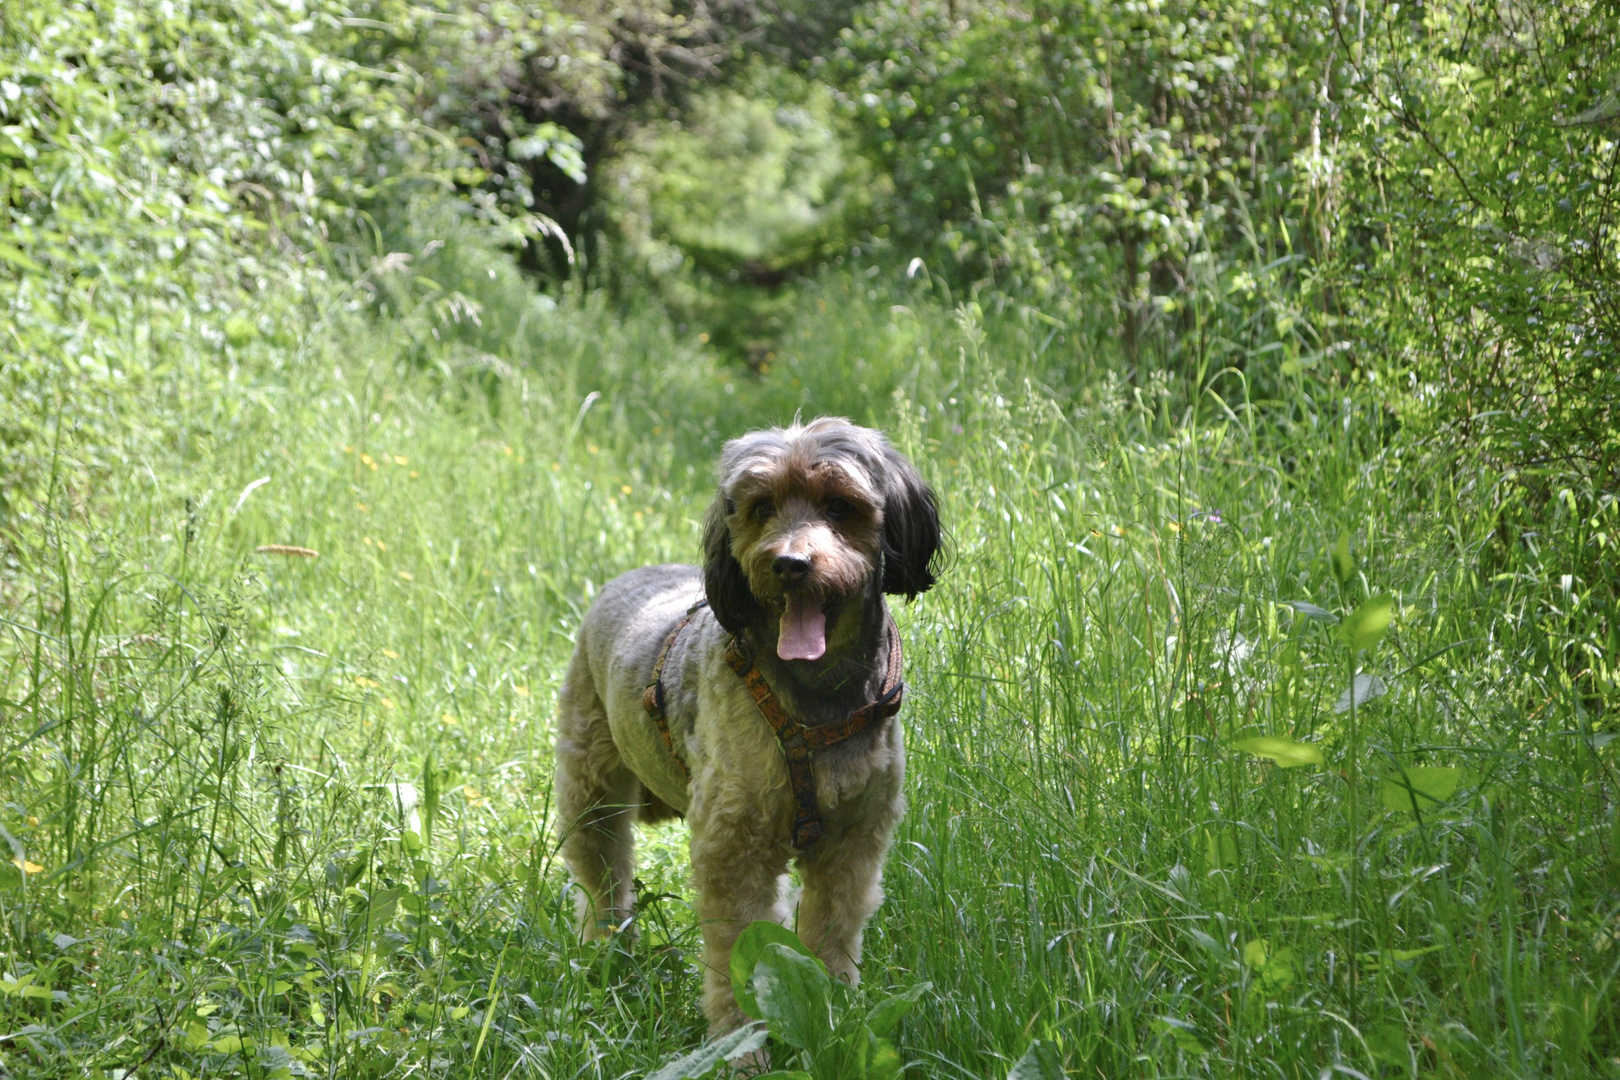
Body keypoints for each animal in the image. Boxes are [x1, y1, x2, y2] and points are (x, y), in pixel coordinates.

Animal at [554, 417, 946, 1036]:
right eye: (761, 507)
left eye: (840, 505)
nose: (788, 564)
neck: (815, 698)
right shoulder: (733, 846)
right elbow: (738, 950)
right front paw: (741, 1042)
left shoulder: (854, 843)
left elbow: (831, 936)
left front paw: (832, 1015)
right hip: (591, 795)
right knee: (604, 885)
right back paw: (607, 962)